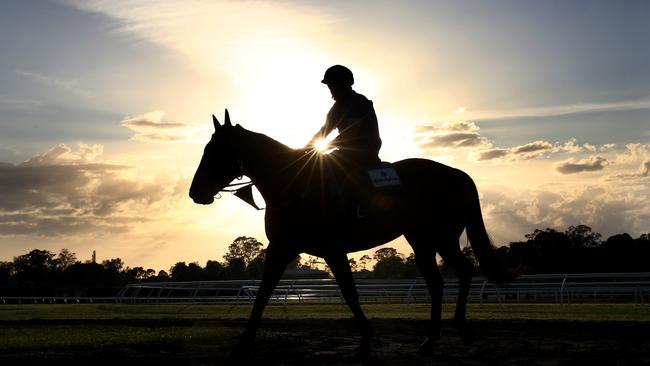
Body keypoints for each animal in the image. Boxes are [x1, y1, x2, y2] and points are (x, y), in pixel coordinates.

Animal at [187, 109, 506, 358]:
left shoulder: (332, 250)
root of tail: (455, 173)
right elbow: (264, 293)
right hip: (425, 241)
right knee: (442, 281)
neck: (294, 183)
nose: (194, 193)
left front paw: (365, 340)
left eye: (216, 152)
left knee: (459, 274)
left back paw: (457, 330)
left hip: (439, 238)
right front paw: (243, 342)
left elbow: (350, 293)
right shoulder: (281, 248)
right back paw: (434, 338)